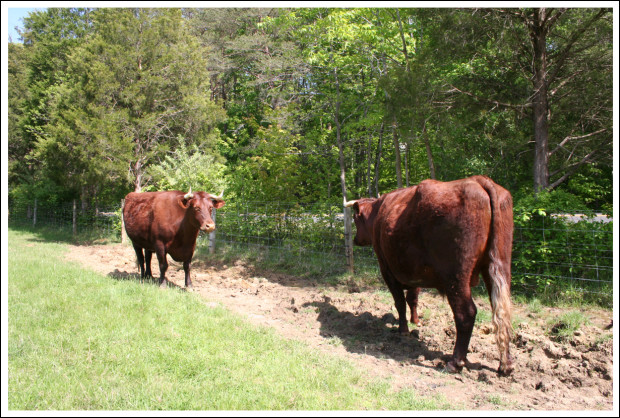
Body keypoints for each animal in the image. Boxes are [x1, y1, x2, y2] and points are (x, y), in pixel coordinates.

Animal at [346, 176, 516, 376]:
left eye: (355, 219)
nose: (356, 239)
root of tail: (478, 180)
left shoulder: (387, 270)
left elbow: (400, 302)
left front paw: (403, 329)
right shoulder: (414, 273)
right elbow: (412, 299)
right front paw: (416, 322)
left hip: (456, 277)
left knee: (466, 313)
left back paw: (455, 362)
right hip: (499, 267)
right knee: (502, 312)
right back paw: (505, 364)